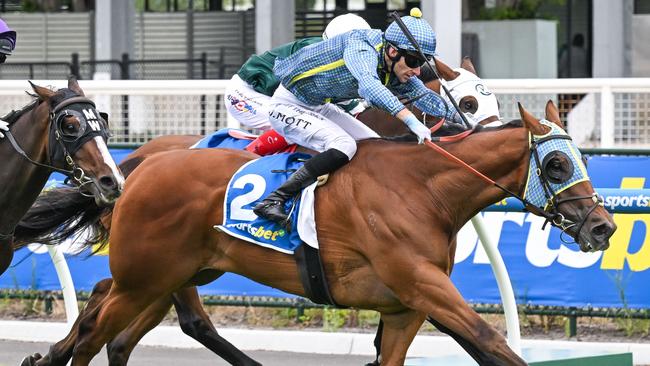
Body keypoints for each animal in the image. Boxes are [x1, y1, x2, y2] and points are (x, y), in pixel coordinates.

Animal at [15, 98, 612, 364]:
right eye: (556, 163)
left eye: (581, 158)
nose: (603, 226)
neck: (424, 189)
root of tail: (136, 169)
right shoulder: (421, 284)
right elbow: (491, 342)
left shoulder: (406, 306)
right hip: (145, 277)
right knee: (96, 333)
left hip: (172, 276)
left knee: (111, 327)